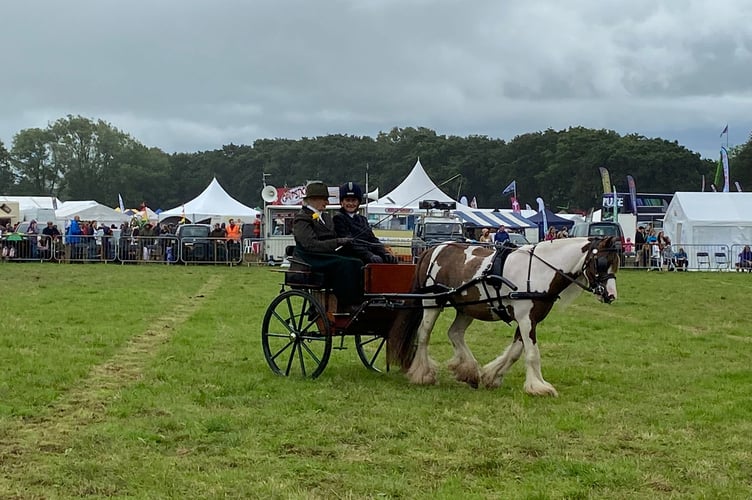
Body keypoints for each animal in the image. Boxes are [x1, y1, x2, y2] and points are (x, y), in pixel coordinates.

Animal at [390, 236, 620, 396]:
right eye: (601, 263)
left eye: (616, 263)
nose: (611, 295)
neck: (538, 271)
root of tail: (432, 249)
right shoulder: (526, 319)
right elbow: (532, 353)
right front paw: (539, 387)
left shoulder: (529, 320)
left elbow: (516, 352)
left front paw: (492, 376)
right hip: (432, 302)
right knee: (424, 334)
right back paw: (423, 374)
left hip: (467, 308)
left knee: (454, 333)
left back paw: (469, 371)